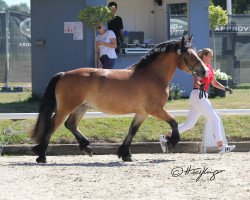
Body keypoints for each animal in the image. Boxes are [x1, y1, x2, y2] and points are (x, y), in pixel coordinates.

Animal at [30, 35, 208, 162]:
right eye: (188, 54)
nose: (204, 71)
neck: (152, 75)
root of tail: (64, 74)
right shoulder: (155, 109)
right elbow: (174, 122)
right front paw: (171, 141)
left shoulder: (143, 112)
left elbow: (132, 130)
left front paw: (125, 154)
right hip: (66, 107)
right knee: (53, 126)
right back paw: (42, 156)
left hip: (82, 107)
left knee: (70, 124)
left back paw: (86, 147)